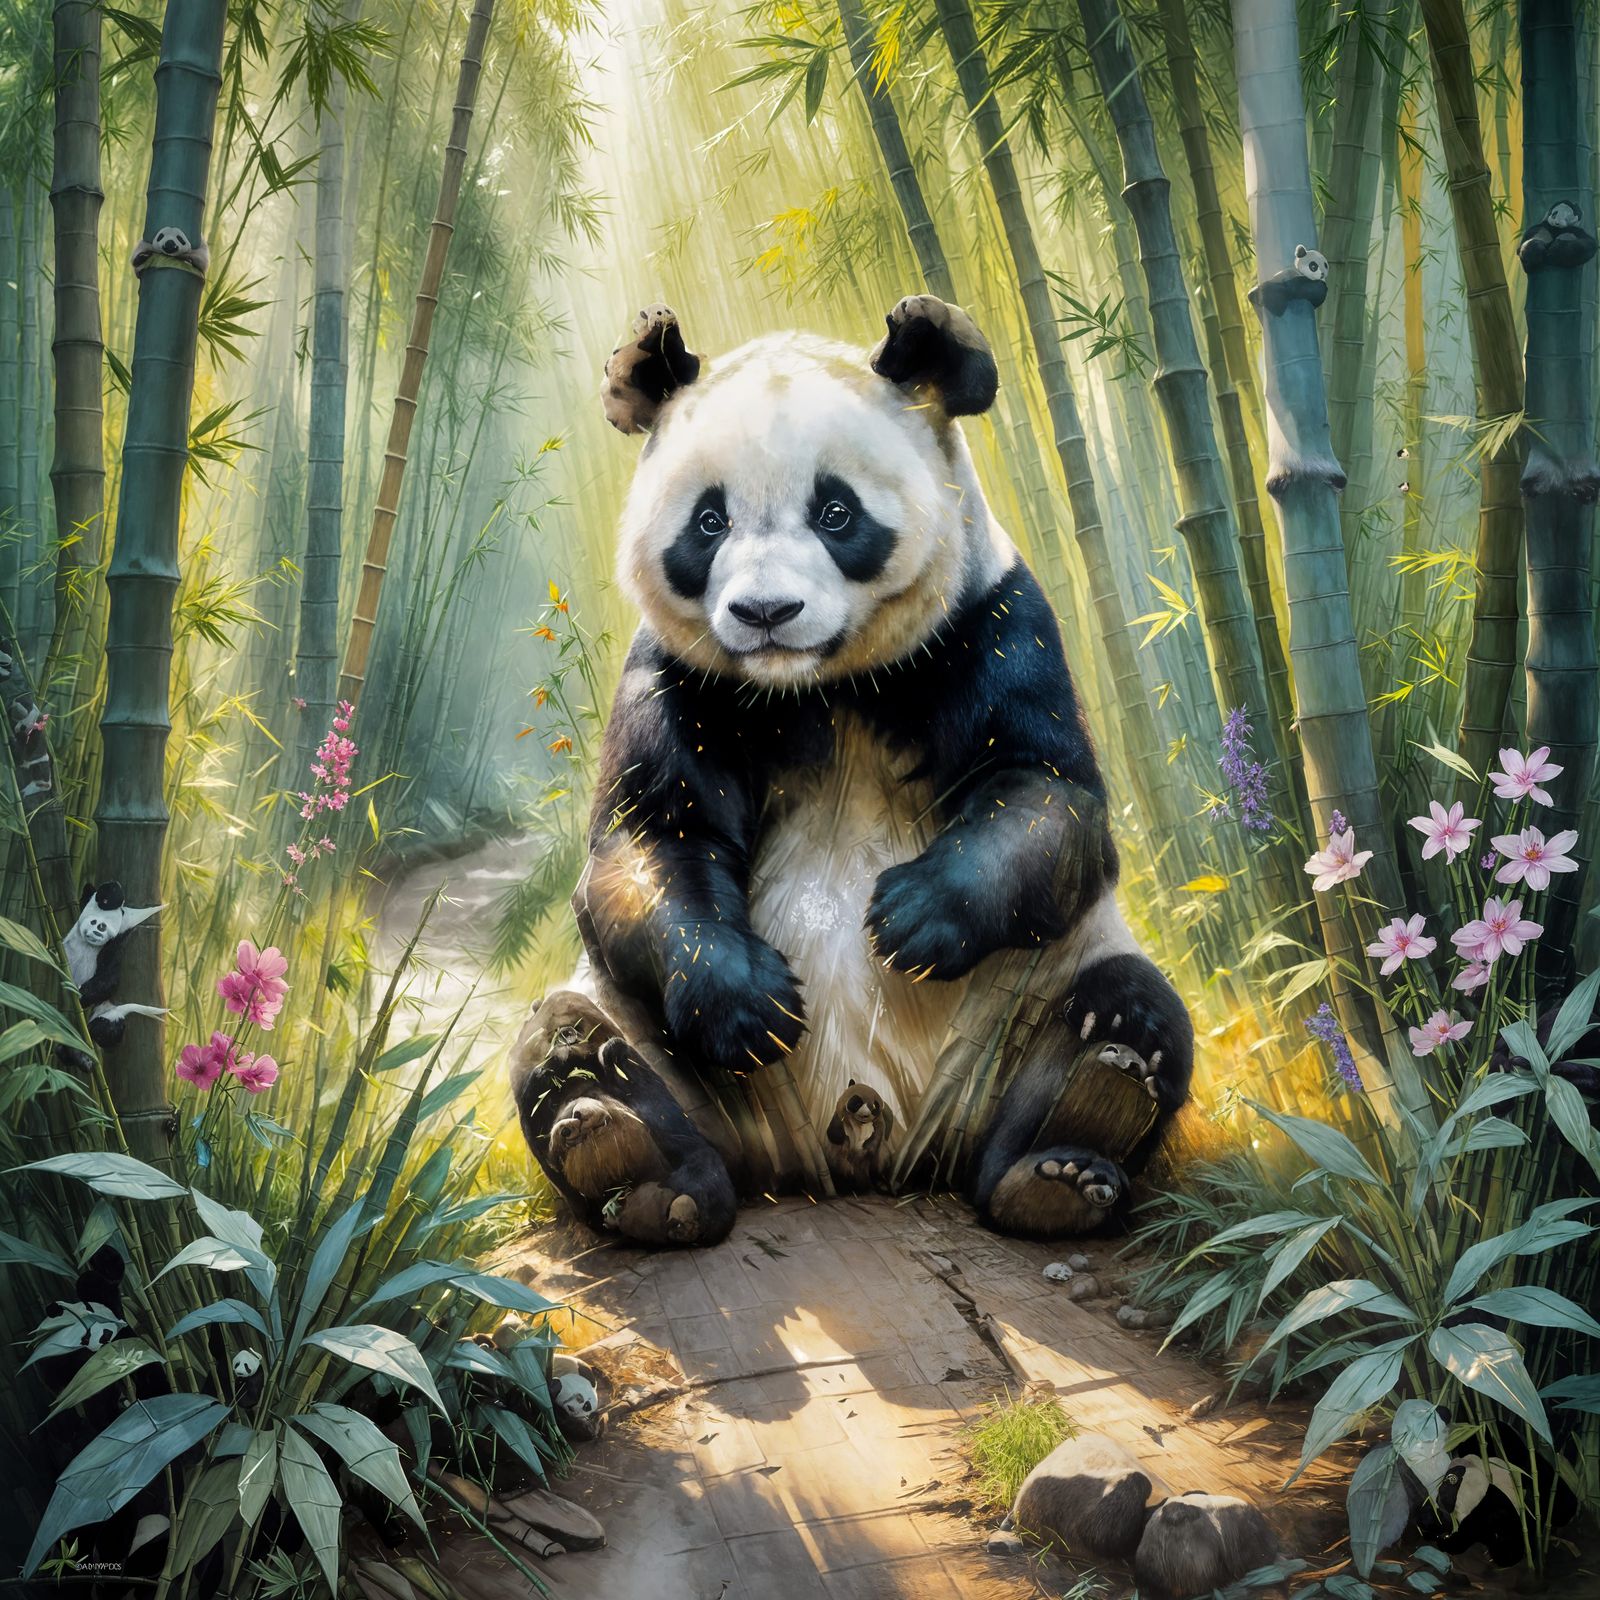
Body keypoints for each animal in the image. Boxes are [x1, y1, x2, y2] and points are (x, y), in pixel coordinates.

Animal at [509, 295, 1193, 1247]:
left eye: (836, 513)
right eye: (709, 522)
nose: (765, 612)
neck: (817, 688)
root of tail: (861, 1147)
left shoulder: (992, 621)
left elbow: (1049, 795)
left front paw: (911, 916)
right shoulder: (680, 676)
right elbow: (652, 835)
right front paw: (751, 1003)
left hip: (1019, 1008)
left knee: (1126, 1002)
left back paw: (1068, 1150)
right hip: (685, 1061)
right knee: (571, 1038)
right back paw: (632, 1163)